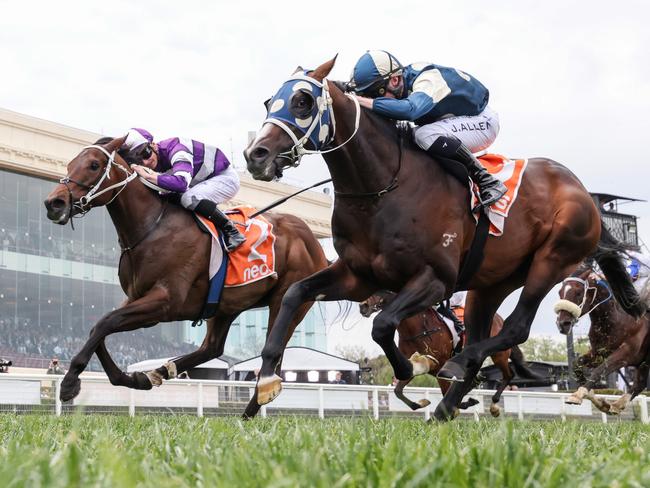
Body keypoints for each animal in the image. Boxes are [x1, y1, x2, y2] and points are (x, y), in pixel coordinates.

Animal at [42, 135, 326, 418]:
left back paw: (249, 411)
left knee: (274, 357)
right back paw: (158, 372)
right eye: (70, 164)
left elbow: (105, 323)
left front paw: (69, 383)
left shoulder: (165, 302)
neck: (151, 228)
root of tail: (313, 242)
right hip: (225, 306)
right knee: (212, 348)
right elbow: (99, 327)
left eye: (93, 165)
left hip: (287, 300)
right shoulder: (137, 298)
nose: (54, 203)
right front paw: (132, 378)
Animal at [356, 292, 540, 418]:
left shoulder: (440, 367)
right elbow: (398, 391)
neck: (418, 329)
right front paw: (422, 403)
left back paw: (494, 405)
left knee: (508, 375)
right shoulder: (414, 365)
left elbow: (446, 394)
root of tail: (500, 319)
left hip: (499, 354)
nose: (362, 306)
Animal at [552, 264, 648, 414]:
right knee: (640, 383)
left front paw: (577, 395)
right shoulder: (599, 352)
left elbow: (599, 370)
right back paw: (617, 405)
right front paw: (600, 402)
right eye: (560, 292)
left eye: (578, 293)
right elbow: (577, 364)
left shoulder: (627, 353)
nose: (563, 323)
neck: (617, 319)